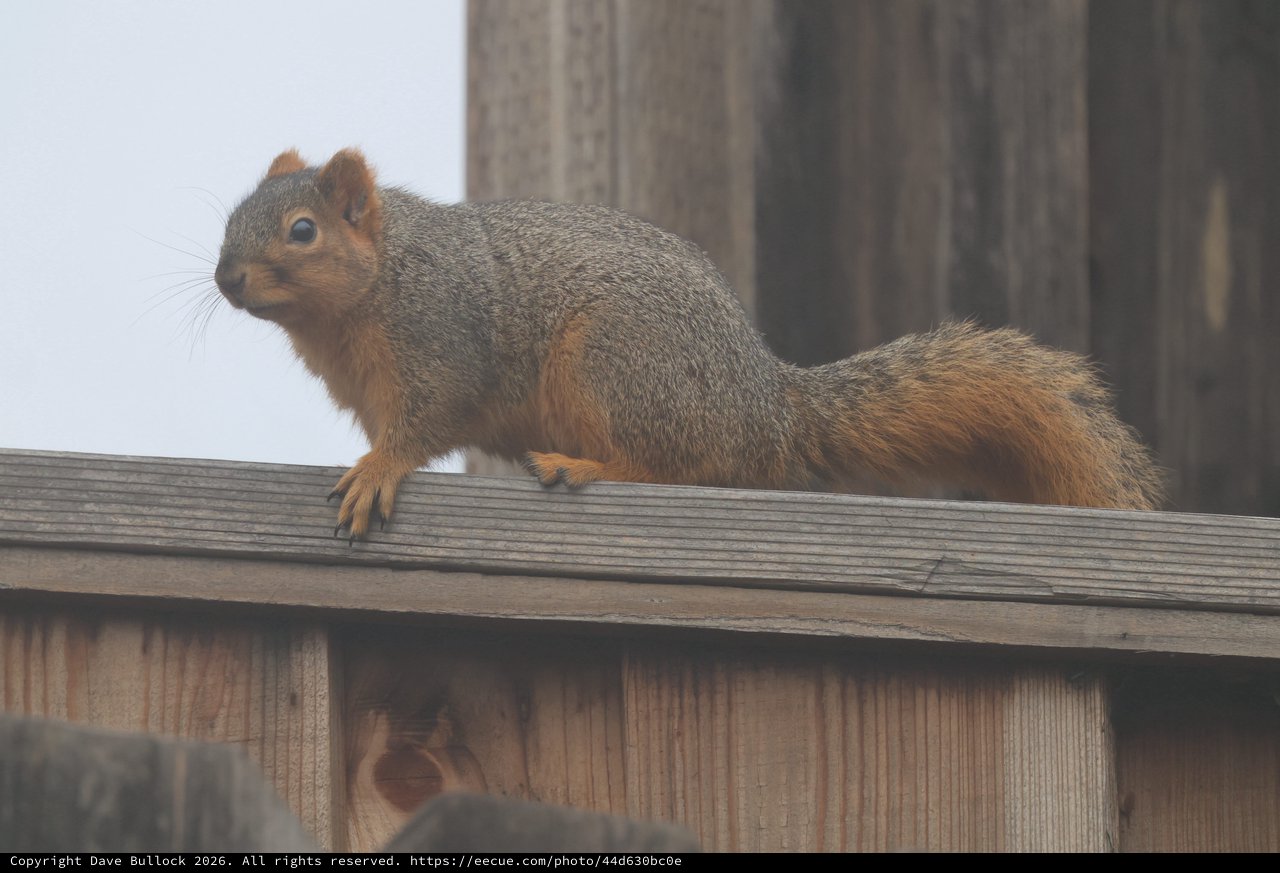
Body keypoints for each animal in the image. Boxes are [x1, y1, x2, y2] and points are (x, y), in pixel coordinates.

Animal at [214, 148, 1163, 539]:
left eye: (301, 231)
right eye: (229, 219)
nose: (226, 279)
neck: (376, 283)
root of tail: (769, 408)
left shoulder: (441, 338)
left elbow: (422, 424)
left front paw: (377, 471)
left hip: (618, 362)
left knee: (674, 466)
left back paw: (582, 466)